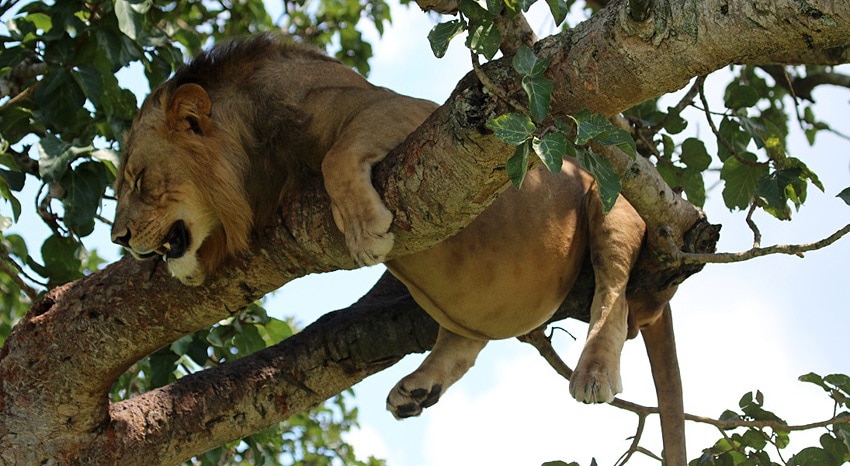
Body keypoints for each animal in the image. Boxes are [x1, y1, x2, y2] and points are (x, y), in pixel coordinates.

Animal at [112, 34, 685, 463]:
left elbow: (337, 156)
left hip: (609, 198)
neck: (259, 161)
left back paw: (594, 370)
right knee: (467, 339)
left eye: (138, 180)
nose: (119, 238)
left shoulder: (422, 115)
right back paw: (417, 389)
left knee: (614, 294)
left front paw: (365, 228)